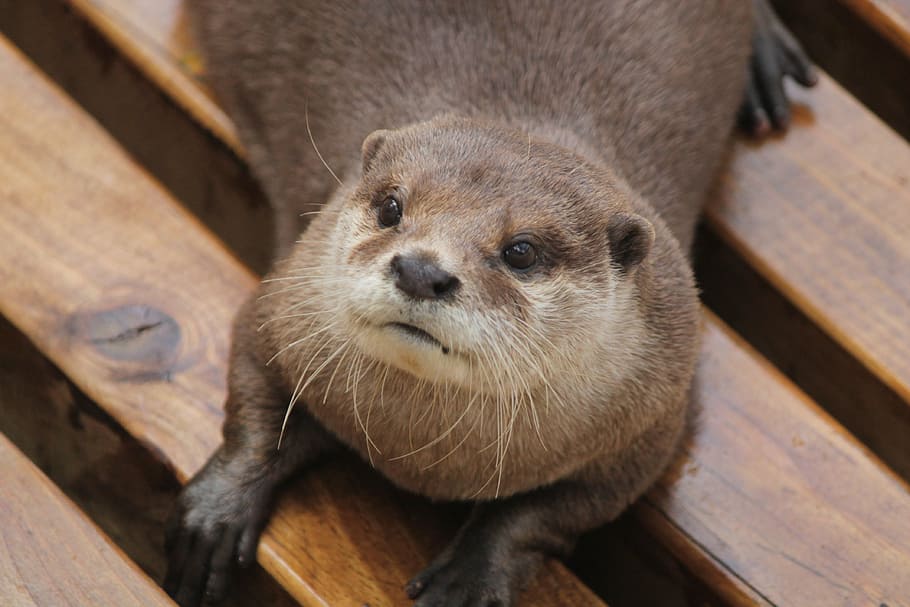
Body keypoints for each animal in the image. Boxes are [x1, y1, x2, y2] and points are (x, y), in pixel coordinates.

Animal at [162, 2, 812, 604]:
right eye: (392, 207)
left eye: (521, 251)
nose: (422, 270)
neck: (419, 454)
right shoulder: (282, 305)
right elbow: (251, 400)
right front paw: (217, 510)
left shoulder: (651, 424)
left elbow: (548, 512)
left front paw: (473, 573)